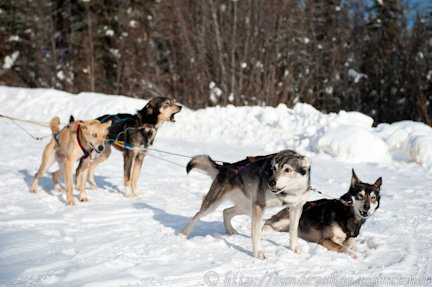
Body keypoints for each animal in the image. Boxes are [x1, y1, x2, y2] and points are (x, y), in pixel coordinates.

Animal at [179, 151, 310, 260]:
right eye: (273, 169)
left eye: (287, 170)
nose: (271, 182)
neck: (287, 192)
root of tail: (224, 167)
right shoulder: (259, 207)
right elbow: (256, 234)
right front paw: (258, 252)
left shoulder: (296, 208)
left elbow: (293, 230)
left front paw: (295, 248)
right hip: (214, 205)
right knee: (196, 216)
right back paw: (182, 235)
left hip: (246, 208)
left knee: (226, 211)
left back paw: (230, 230)